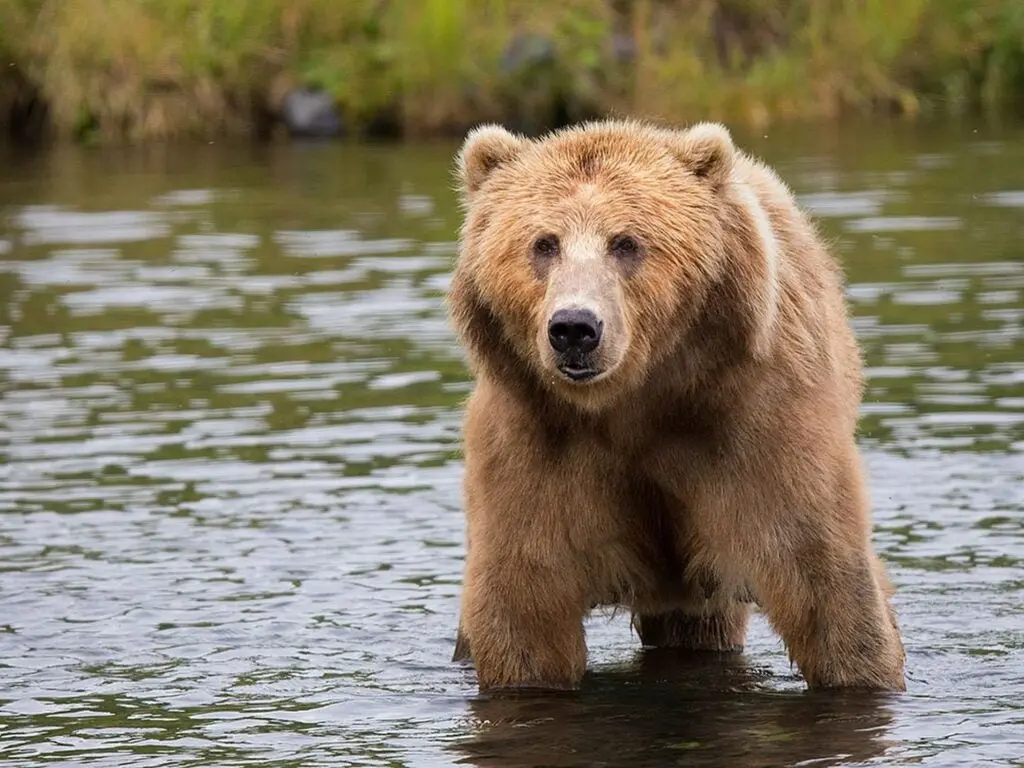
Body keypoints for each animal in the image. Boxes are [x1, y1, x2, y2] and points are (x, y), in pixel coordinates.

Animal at [446, 117, 905, 696]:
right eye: (543, 243)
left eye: (626, 242)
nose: (574, 328)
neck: (637, 402)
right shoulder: (536, 440)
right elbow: (524, 603)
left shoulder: (755, 423)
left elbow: (823, 578)